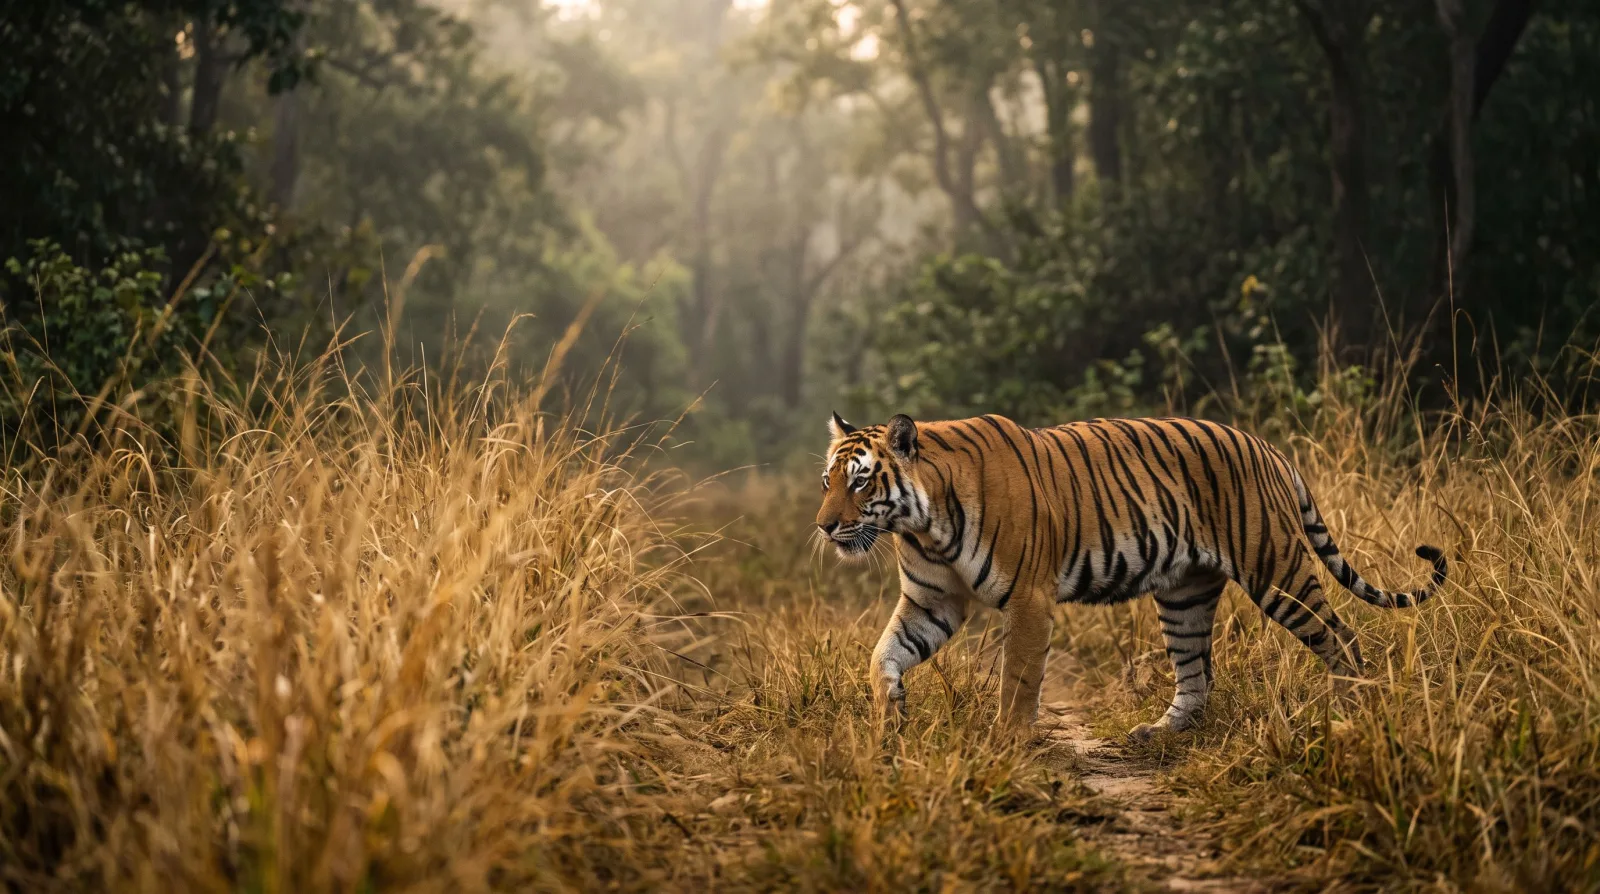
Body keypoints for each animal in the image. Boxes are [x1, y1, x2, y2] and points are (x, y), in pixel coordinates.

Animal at [814, 411, 1446, 740]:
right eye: (828, 481)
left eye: (862, 481)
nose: (824, 526)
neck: (922, 524)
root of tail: (1268, 447)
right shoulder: (932, 602)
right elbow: (883, 655)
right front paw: (889, 720)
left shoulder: (1029, 599)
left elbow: (1018, 679)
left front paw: (1007, 742)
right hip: (1185, 595)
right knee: (1196, 676)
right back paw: (1160, 731)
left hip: (1277, 570)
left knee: (1341, 637)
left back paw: (1351, 712)